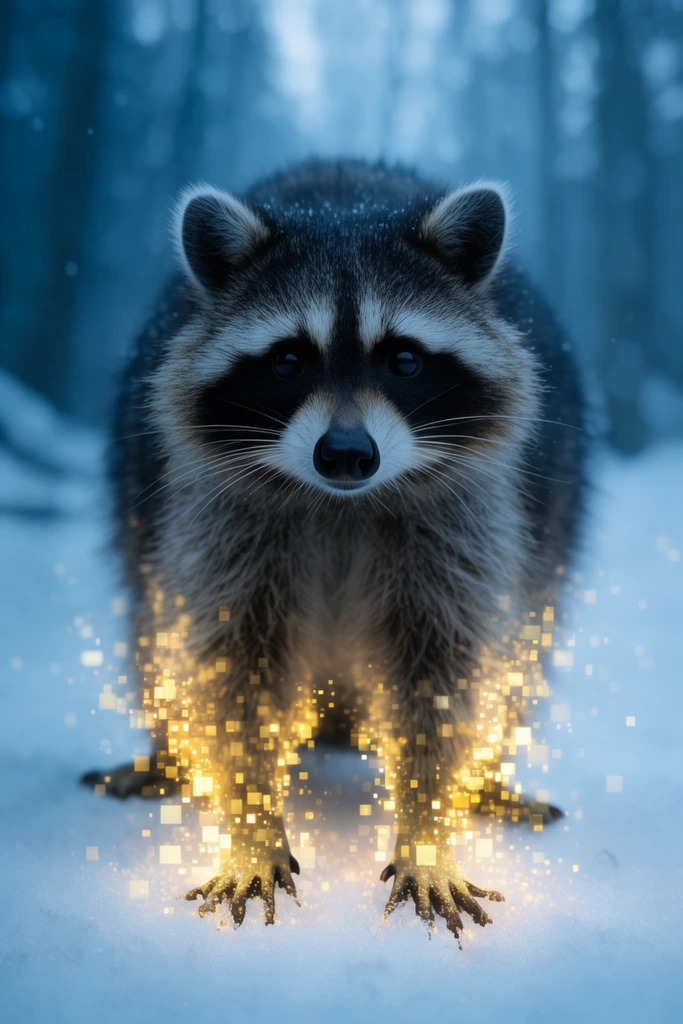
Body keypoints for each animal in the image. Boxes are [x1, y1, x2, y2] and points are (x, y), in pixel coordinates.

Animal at [86, 160, 585, 941]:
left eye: (404, 359)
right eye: (289, 360)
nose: (347, 454)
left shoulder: (462, 520)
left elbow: (444, 670)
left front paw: (427, 824)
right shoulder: (222, 518)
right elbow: (231, 665)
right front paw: (252, 817)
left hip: (550, 527)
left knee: (524, 647)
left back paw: (486, 773)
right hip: (142, 507)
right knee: (152, 626)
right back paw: (170, 750)